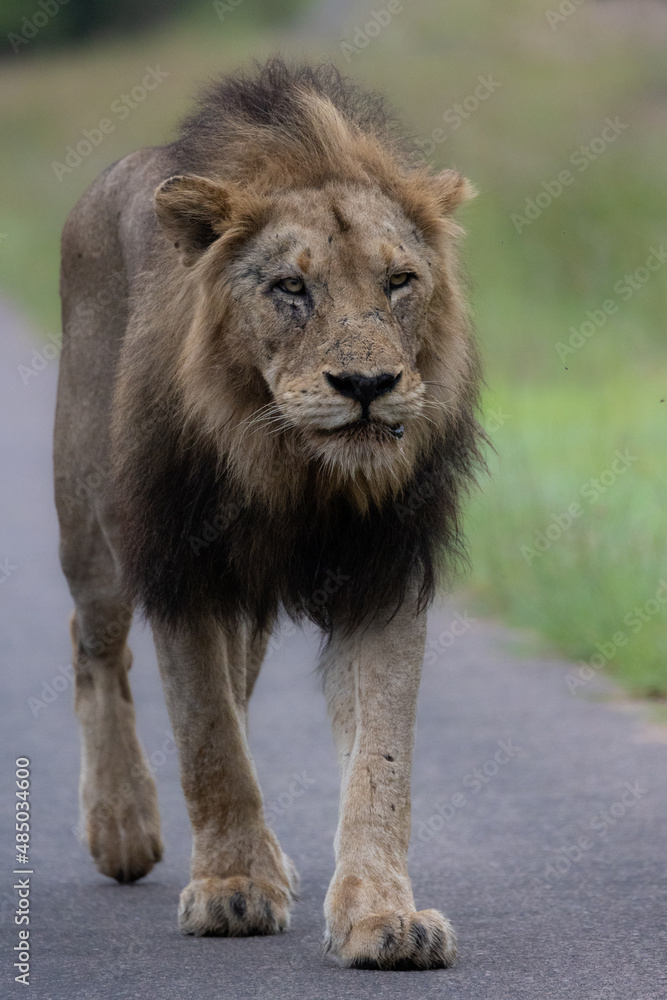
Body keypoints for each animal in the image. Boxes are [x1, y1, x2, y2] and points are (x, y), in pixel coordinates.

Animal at [54, 56, 486, 968]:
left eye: (400, 282)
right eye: (291, 288)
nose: (367, 385)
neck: (297, 471)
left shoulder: (384, 575)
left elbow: (379, 763)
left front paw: (380, 917)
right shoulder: (182, 571)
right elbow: (209, 741)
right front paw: (230, 891)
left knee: (238, 687)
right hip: (91, 530)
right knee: (96, 645)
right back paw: (122, 826)